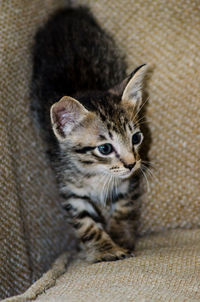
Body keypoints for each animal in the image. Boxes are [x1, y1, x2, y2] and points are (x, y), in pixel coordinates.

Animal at [30, 5, 147, 264]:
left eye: (136, 138)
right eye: (105, 148)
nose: (131, 164)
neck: (97, 174)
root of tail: (66, 12)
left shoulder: (128, 183)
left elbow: (124, 208)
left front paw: (120, 238)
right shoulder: (70, 190)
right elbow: (85, 224)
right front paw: (106, 250)